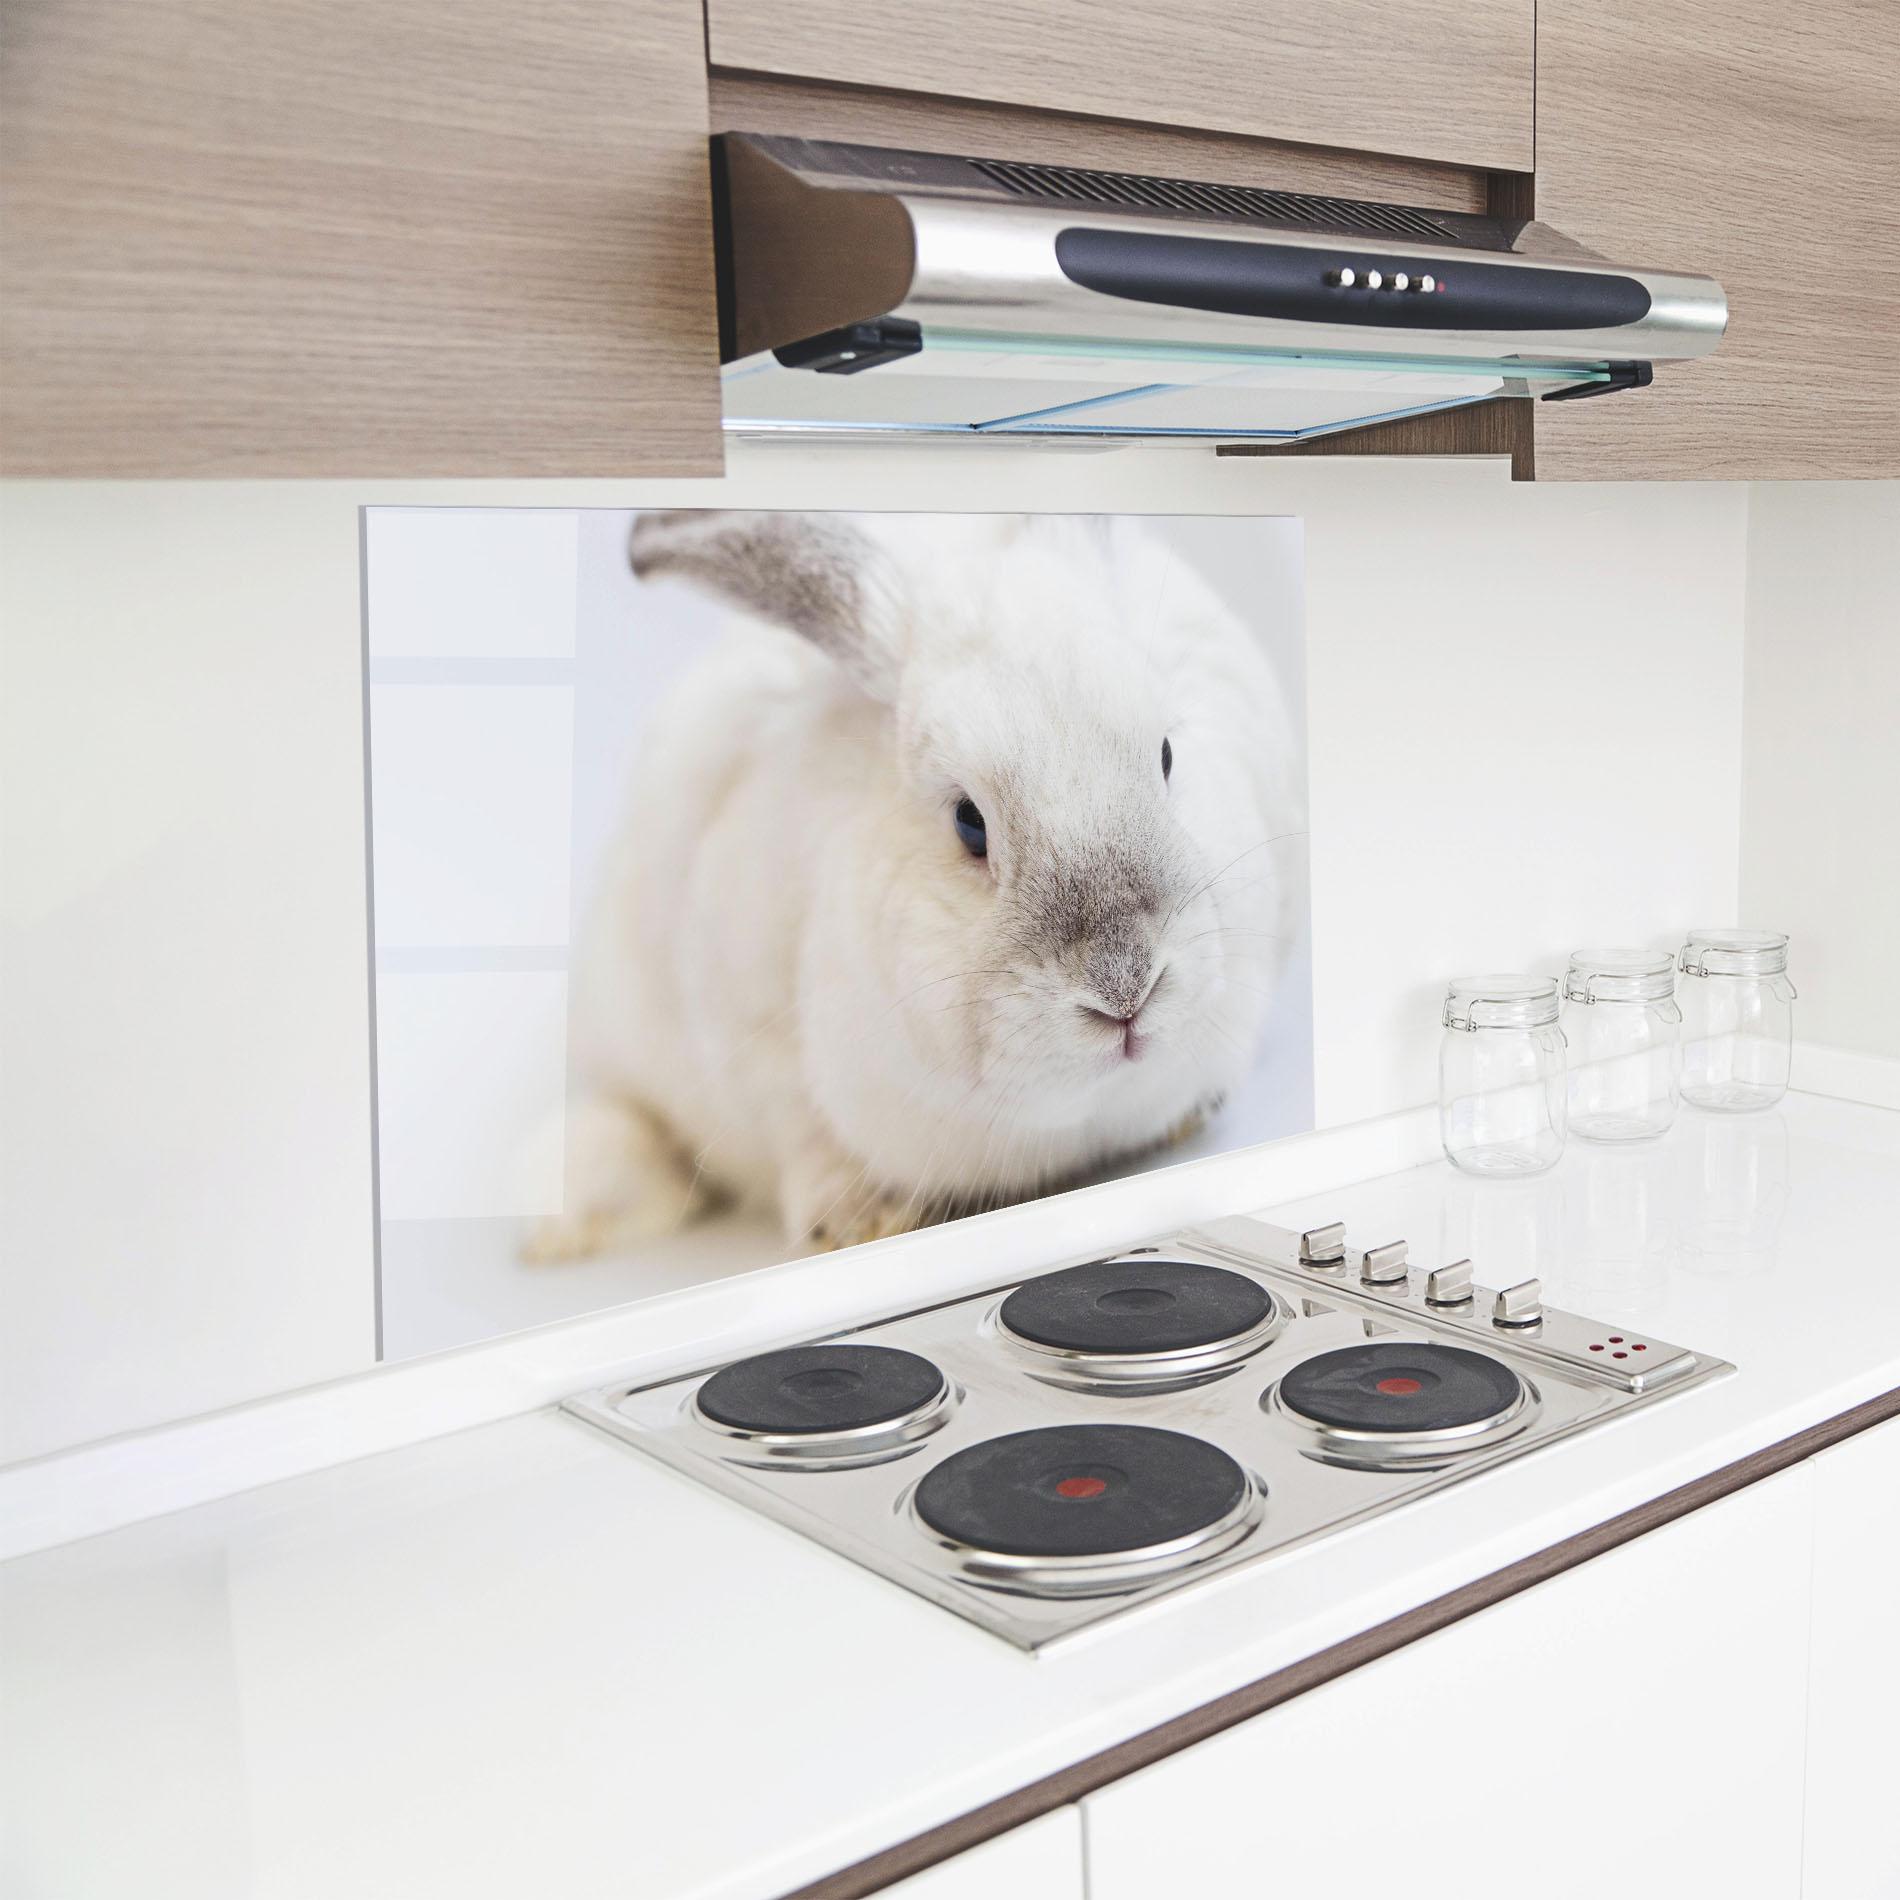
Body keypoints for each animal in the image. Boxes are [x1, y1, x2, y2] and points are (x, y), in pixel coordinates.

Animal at [525, 510, 1305, 1261]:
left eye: (1167, 755)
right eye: (968, 823)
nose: (1125, 991)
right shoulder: (750, 1032)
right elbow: (803, 1134)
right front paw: (860, 1221)